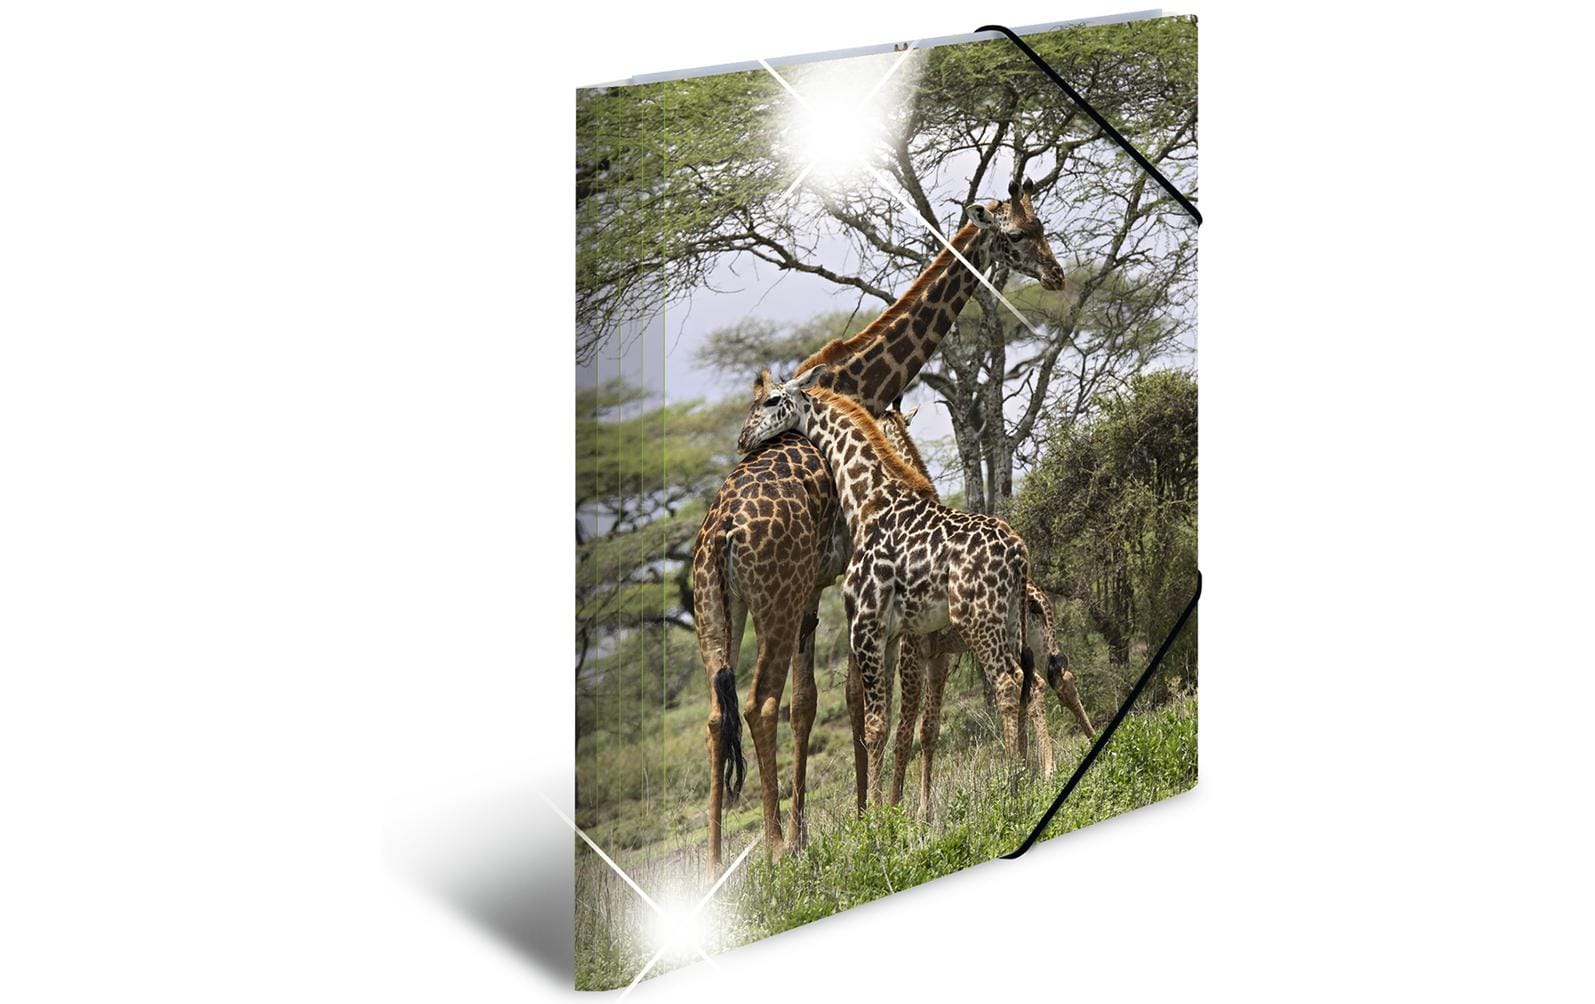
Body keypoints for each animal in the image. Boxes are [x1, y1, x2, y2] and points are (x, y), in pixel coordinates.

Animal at [735, 369, 1043, 804]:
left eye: (771, 400)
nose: (744, 438)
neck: (867, 502)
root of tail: (1019, 553)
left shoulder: (866, 626)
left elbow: (878, 724)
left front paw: (879, 813)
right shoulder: (894, 634)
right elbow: (891, 723)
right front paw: (892, 809)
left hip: (978, 618)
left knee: (1007, 680)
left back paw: (1015, 782)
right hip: (1012, 619)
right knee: (1029, 681)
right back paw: (1031, 775)